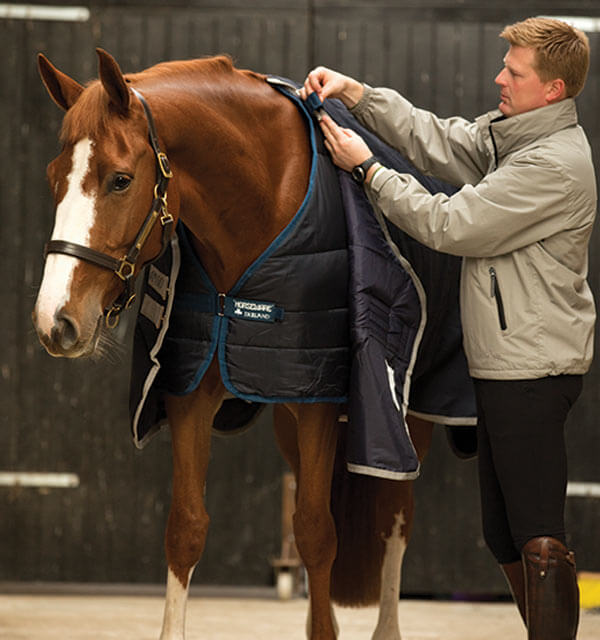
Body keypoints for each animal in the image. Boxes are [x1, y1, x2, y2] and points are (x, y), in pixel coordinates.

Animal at [32, 48, 435, 640]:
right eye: (53, 178)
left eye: (120, 180)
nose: (54, 321)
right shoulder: (191, 395)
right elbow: (186, 529)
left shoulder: (319, 403)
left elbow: (315, 533)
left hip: (403, 423)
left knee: (395, 516)